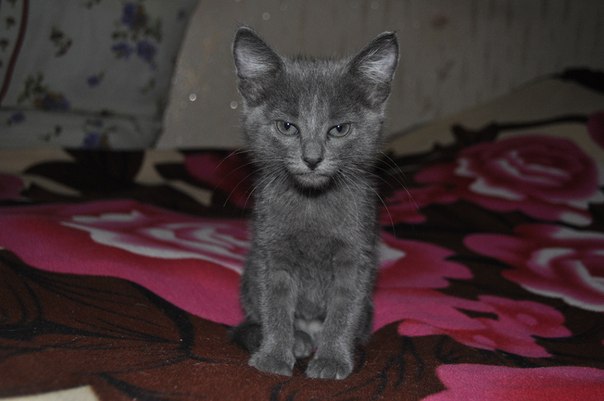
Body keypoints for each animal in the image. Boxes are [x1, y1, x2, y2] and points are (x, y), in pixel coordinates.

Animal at [230, 26, 398, 380]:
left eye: (339, 129)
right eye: (286, 126)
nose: (311, 158)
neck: (312, 201)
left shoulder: (355, 255)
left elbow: (344, 307)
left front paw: (332, 359)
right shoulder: (272, 250)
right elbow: (275, 304)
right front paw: (274, 355)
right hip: (248, 276)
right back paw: (299, 339)